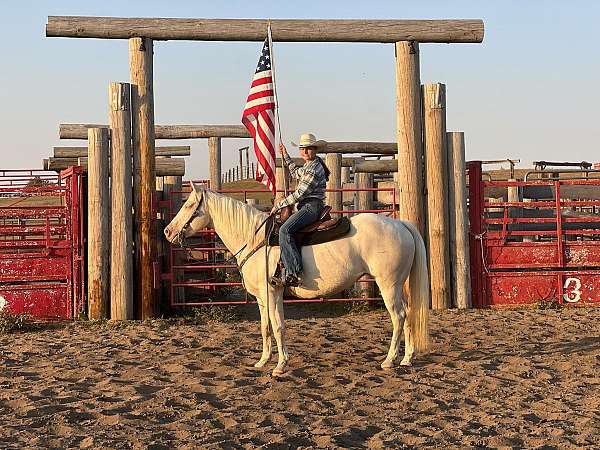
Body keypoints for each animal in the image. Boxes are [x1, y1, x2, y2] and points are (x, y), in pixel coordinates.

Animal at [162, 183, 428, 376]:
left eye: (189, 204)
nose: (167, 231)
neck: (256, 239)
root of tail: (401, 224)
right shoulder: (263, 297)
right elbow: (265, 327)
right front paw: (262, 361)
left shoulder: (272, 292)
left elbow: (278, 326)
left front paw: (280, 366)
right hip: (399, 285)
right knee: (409, 314)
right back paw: (407, 358)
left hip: (388, 285)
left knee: (398, 317)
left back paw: (389, 360)